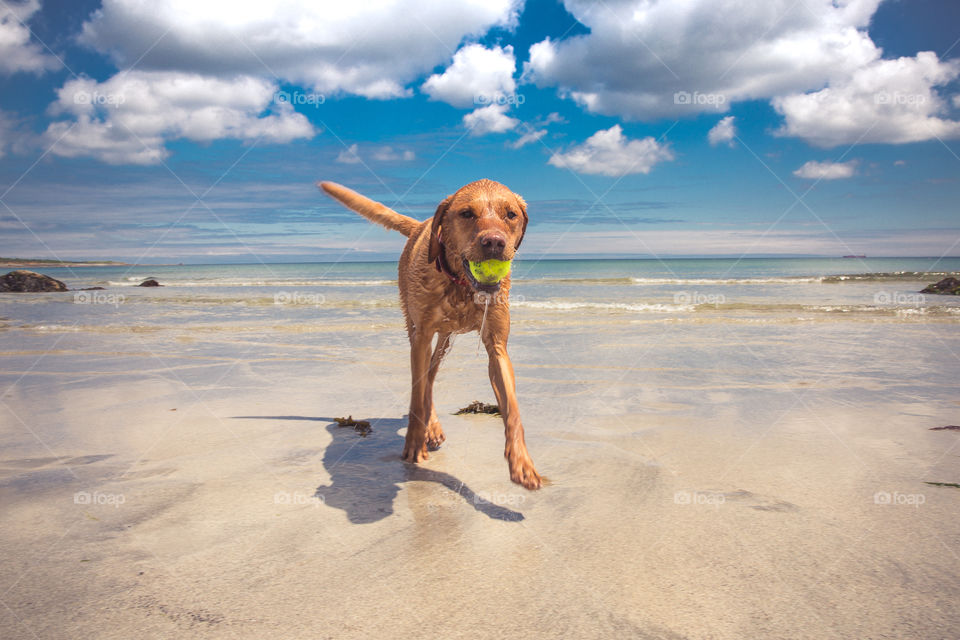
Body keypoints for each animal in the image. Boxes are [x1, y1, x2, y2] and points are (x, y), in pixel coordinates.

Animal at [318, 180, 544, 490]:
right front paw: (414, 443)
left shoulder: (497, 346)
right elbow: (417, 392)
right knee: (423, 382)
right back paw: (428, 427)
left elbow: (512, 409)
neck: (460, 284)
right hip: (416, 330)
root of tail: (419, 225)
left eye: (511, 214)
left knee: (432, 377)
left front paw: (522, 462)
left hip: (444, 340)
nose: (495, 242)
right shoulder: (422, 337)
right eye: (466, 213)